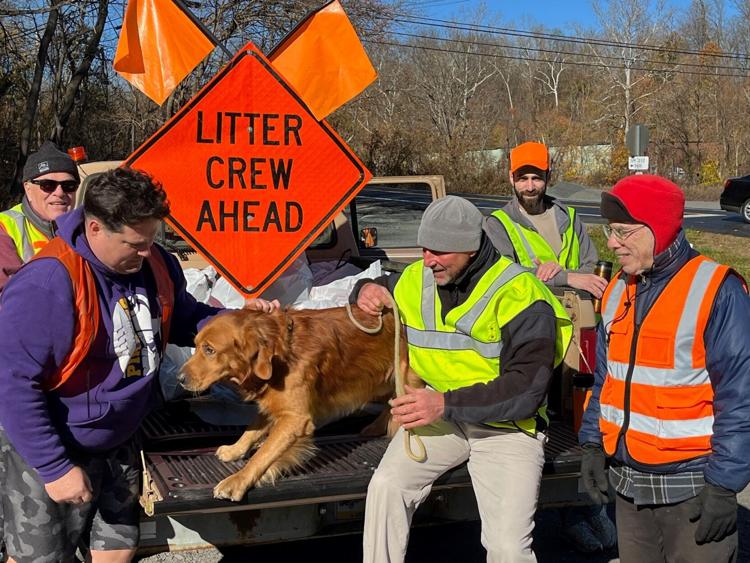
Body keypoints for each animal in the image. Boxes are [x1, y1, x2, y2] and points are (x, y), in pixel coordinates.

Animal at [180, 306, 420, 504]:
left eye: (209, 350)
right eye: (196, 345)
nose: (179, 378)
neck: (280, 351)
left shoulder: (295, 418)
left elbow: (263, 453)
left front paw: (239, 479)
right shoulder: (277, 403)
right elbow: (252, 429)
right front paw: (235, 449)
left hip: (405, 378)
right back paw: (375, 428)